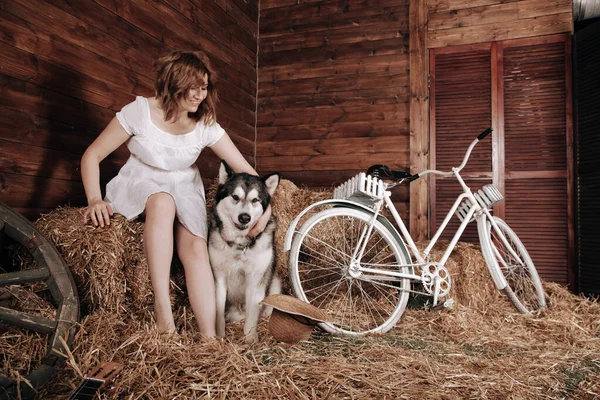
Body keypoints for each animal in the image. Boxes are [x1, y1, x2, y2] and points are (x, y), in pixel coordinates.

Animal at [207, 161, 280, 342]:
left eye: (255, 200)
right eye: (235, 197)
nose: (245, 217)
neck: (240, 245)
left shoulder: (256, 278)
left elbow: (253, 312)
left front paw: (250, 338)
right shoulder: (219, 277)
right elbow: (218, 310)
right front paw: (220, 336)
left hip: (274, 281)